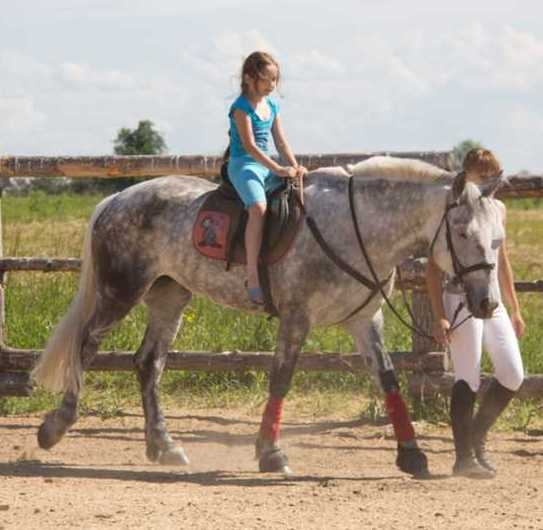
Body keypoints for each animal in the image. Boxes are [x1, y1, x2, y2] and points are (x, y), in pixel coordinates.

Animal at [31, 156, 504, 474]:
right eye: (463, 233)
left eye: (497, 237)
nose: (486, 303)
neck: (356, 228)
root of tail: (117, 197)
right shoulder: (297, 317)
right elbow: (281, 378)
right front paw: (271, 453)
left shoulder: (364, 320)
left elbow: (388, 380)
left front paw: (411, 454)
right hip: (120, 291)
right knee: (86, 345)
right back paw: (56, 425)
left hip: (170, 297)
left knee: (149, 363)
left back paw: (163, 446)